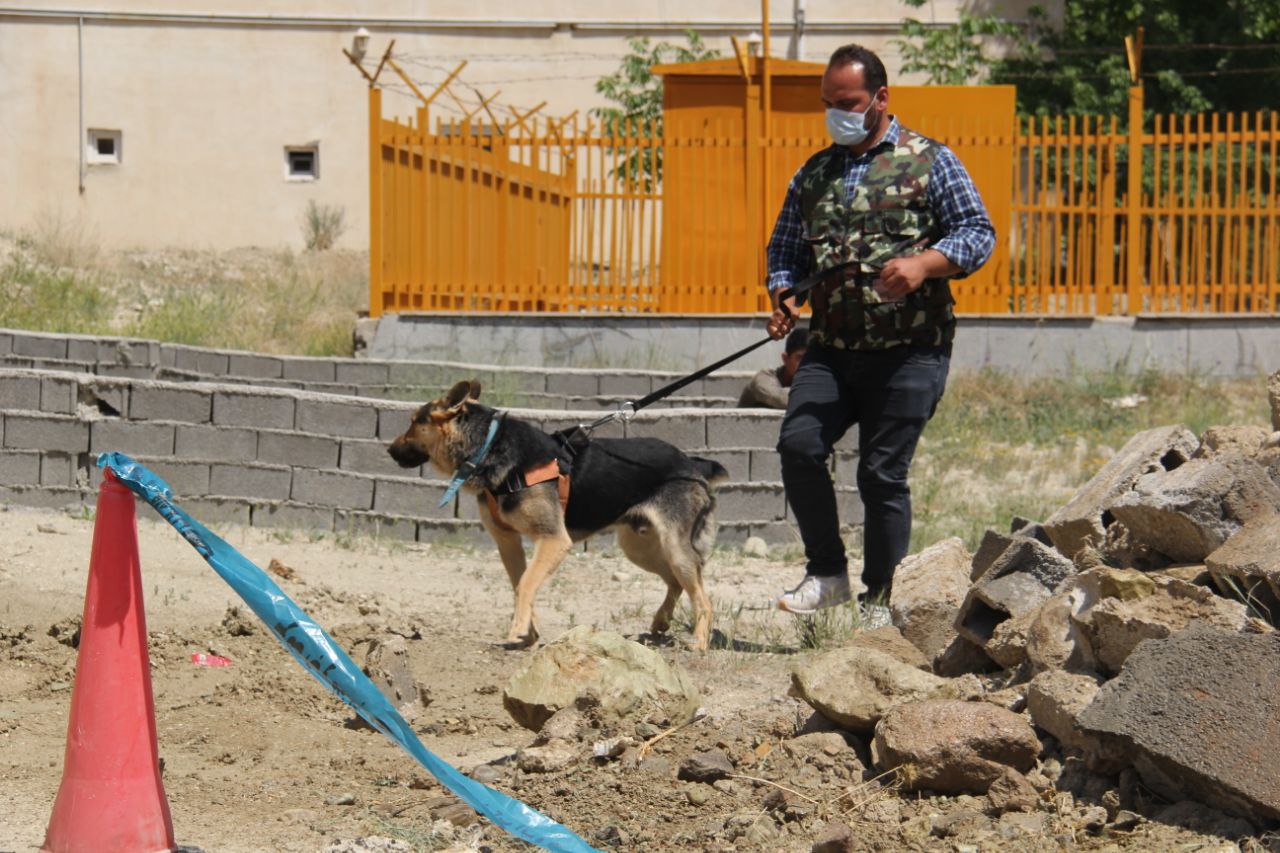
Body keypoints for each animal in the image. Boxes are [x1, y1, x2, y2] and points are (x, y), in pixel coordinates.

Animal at [387, 379, 729, 650]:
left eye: (413, 422)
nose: (389, 451)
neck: (489, 446)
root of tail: (691, 463)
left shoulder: (553, 540)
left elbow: (526, 583)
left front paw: (518, 627)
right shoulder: (508, 543)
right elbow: (521, 584)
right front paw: (528, 632)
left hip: (673, 547)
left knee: (702, 597)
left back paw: (699, 642)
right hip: (638, 547)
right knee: (675, 581)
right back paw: (661, 622)